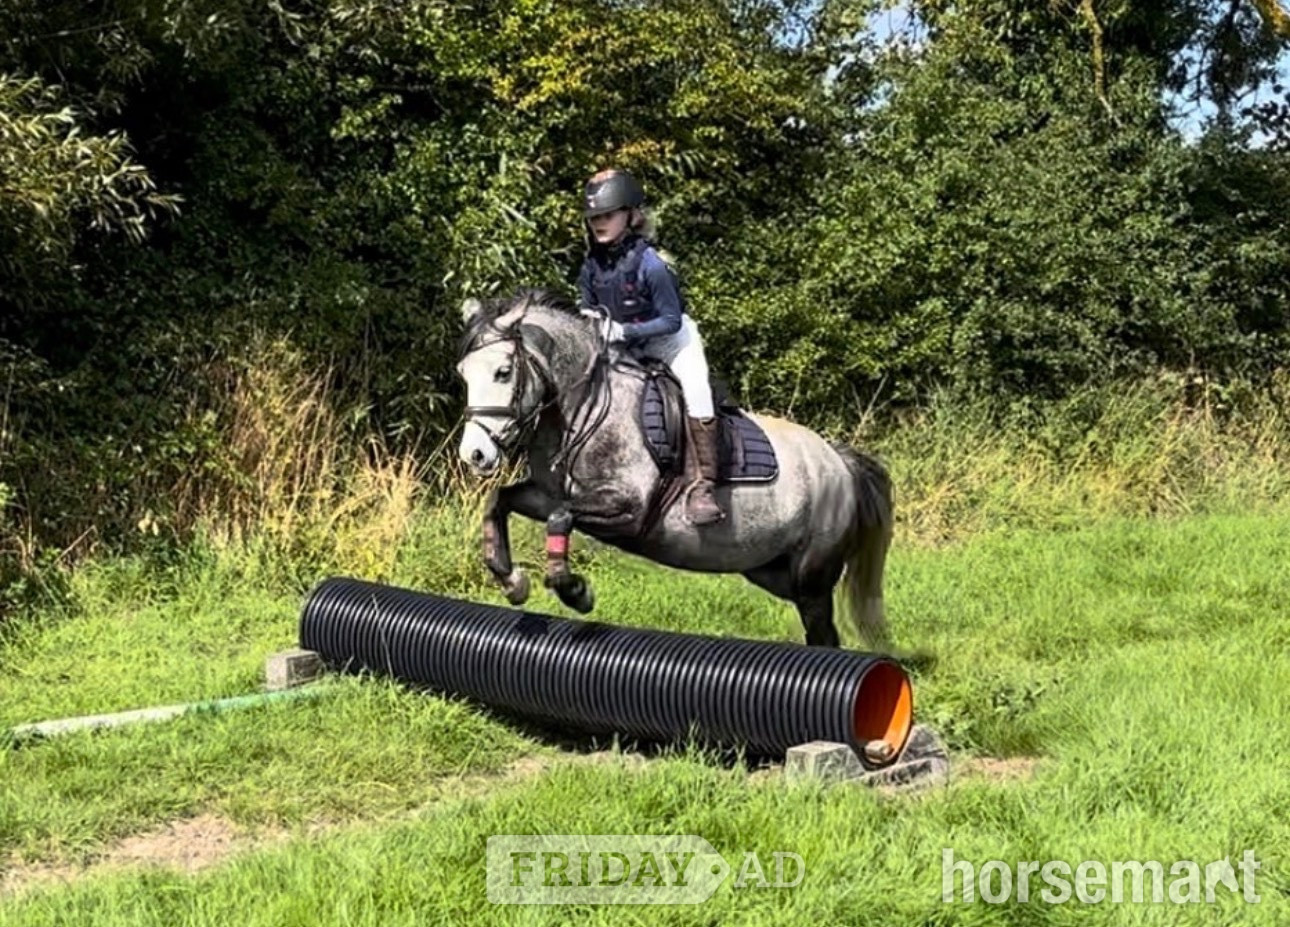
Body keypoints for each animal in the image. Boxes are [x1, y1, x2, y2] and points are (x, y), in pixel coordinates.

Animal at [454, 289, 894, 649]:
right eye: (463, 374)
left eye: (503, 372)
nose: (474, 454)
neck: (581, 409)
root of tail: (839, 461)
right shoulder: (548, 495)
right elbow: (500, 500)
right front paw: (513, 582)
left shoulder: (628, 509)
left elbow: (560, 519)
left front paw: (576, 592)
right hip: (770, 569)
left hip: (812, 576)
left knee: (823, 634)